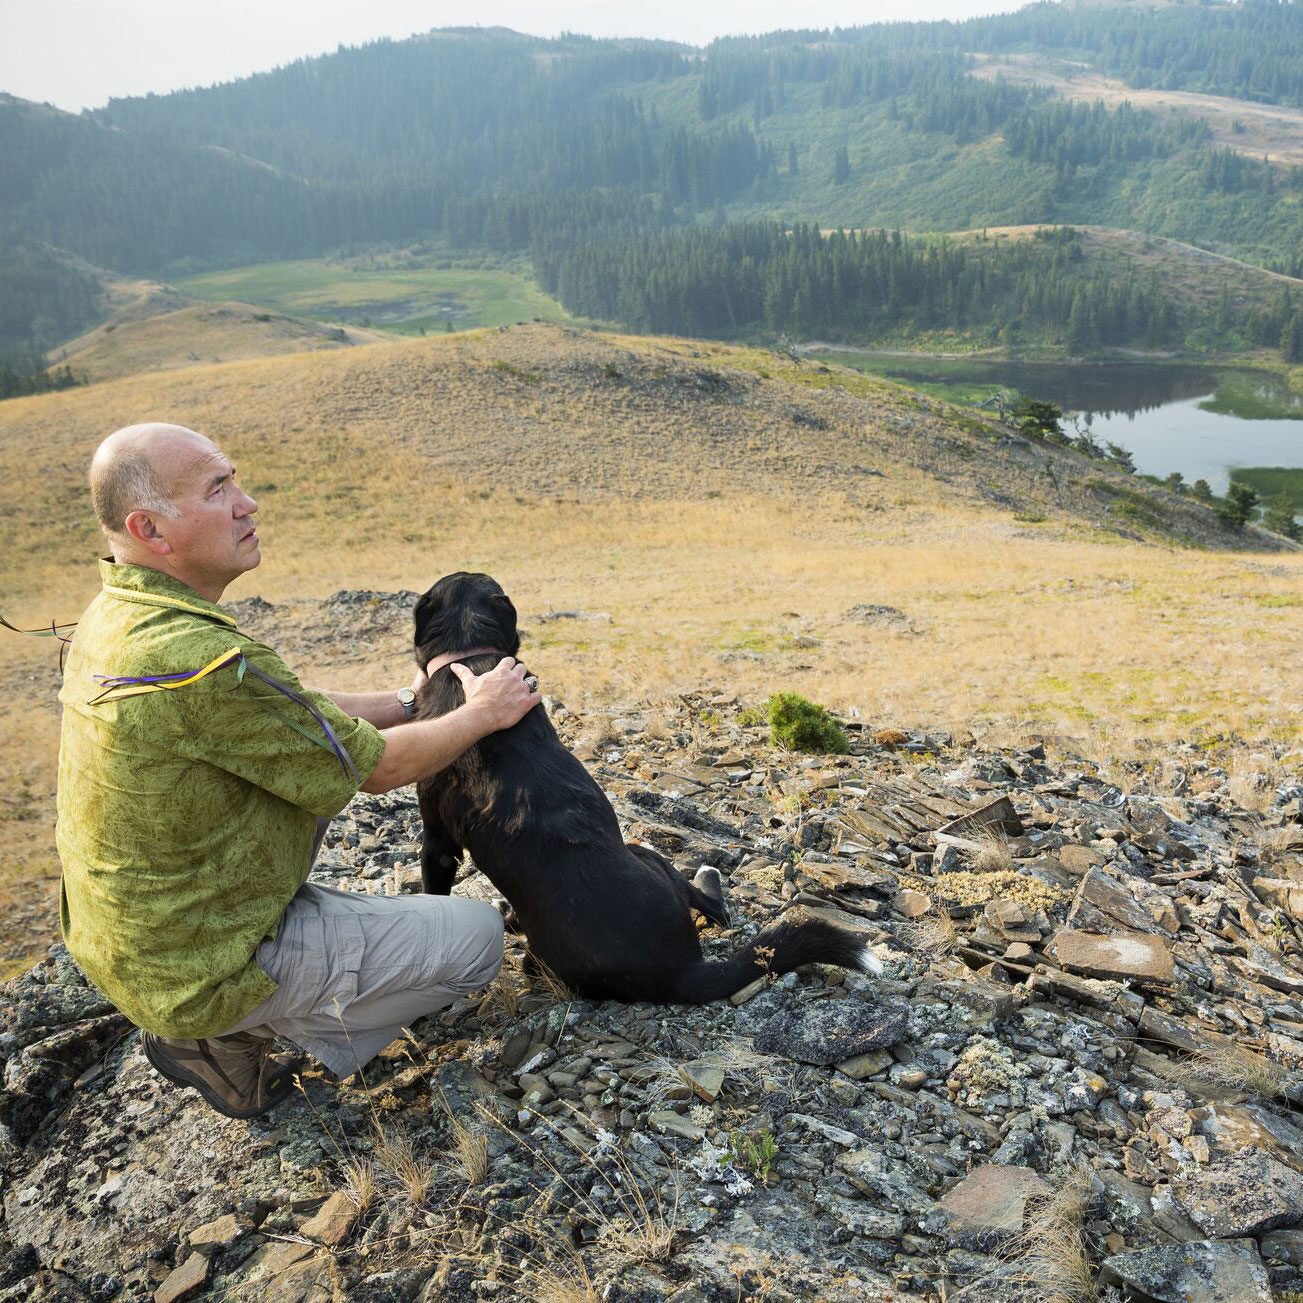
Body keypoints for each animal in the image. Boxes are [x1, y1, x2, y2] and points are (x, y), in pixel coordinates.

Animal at [411, 565, 880, 1000]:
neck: (468, 653)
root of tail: (682, 972)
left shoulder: (438, 841)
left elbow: (435, 887)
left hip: (641, 854)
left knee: (710, 902)